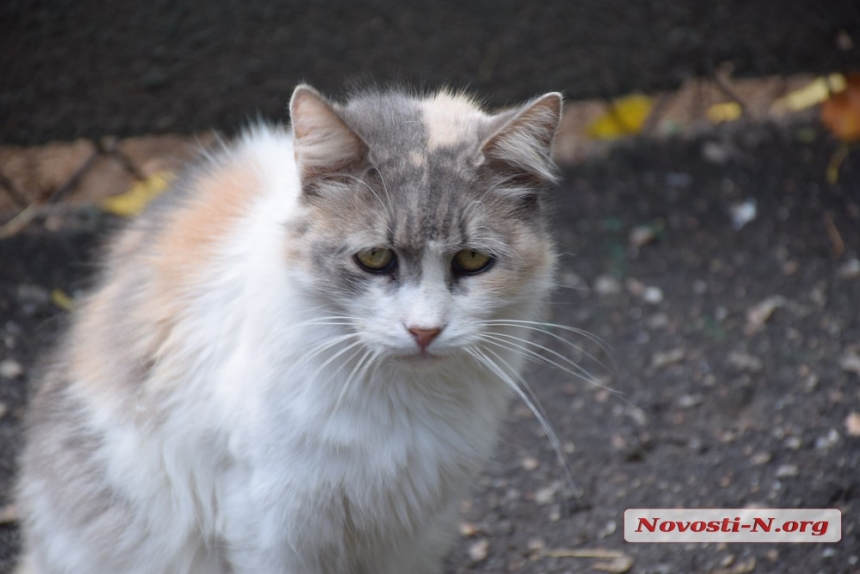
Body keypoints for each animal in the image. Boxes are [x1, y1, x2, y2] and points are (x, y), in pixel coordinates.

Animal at [15, 83, 564, 572]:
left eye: (472, 261)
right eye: (374, 258)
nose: (424, 331)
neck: (402, 400)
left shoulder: (413, 531)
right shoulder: (271, 525)